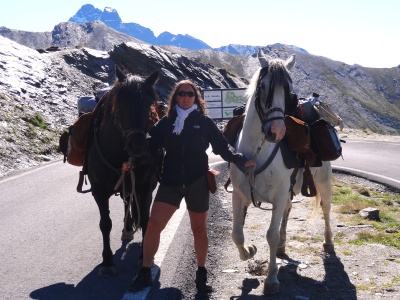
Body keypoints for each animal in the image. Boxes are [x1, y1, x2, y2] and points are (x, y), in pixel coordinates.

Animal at [87, 65, 159, 276]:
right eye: (120, 104)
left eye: (150, 106)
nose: (139, 146)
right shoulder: (98, 190)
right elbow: (105, 223)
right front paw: (107, 261)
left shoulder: (145, 185)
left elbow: (146, 218)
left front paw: (144, 256)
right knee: (127, 202)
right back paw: (126, 230)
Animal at [228, 49, 334, 296]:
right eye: (263, 85)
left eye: (288, 90)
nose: (276, 132)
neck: (257, 152)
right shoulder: (239, 195)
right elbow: (237, 233)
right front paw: (249, 250)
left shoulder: (276, 196)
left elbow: (271, 235)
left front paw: (272, 278)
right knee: (288, 209)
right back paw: (283, 245)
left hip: (322, 180)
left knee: (326, 208)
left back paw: (327, 242)